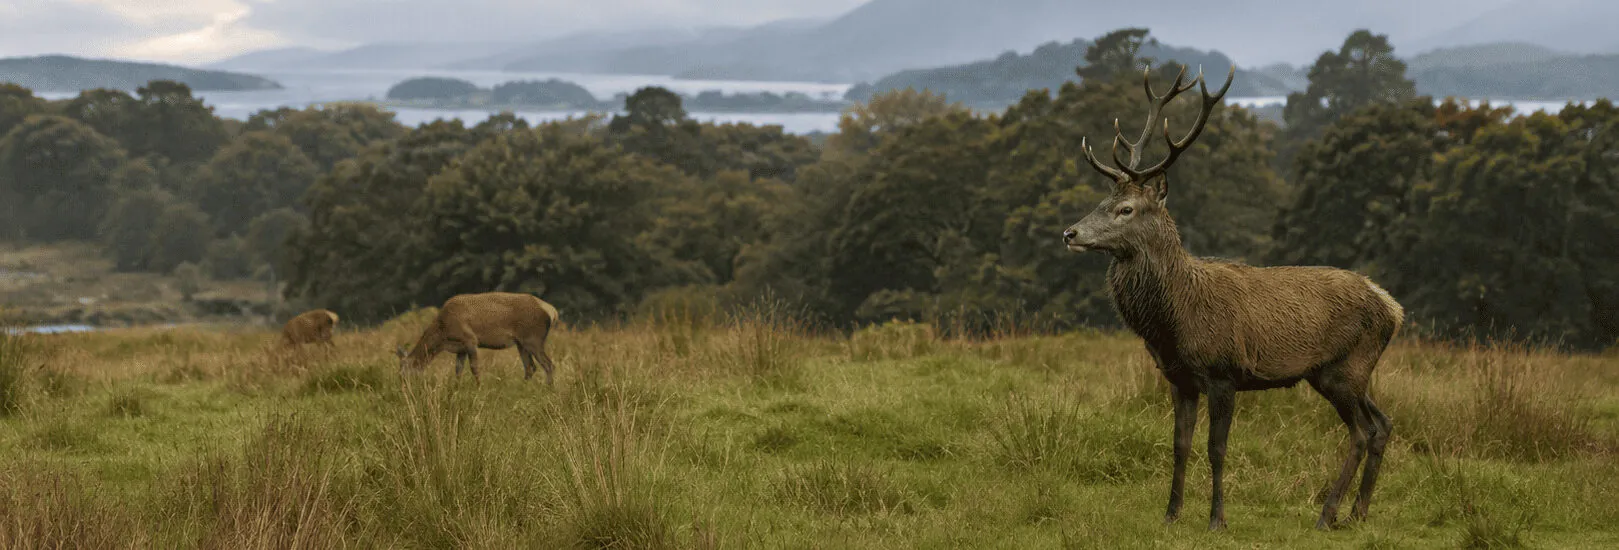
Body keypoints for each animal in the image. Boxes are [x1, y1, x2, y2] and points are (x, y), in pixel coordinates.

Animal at [394, 292, 561, 385]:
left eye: (404, 372)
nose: (403, 388)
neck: (443, 335)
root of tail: (552, 312)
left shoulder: (470, 340)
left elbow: (474, 368)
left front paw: (478, 388)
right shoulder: (460, 349)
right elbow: (458, 370)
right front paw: (455, 389)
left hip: (533, 338)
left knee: (548, 365)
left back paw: (549, 389)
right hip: (521, 343)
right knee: (530, 367)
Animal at [1060, 65, 1405, 531]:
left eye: (1126, 209)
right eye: (1102, 200)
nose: (1070, 233)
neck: (1174, 319)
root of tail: (1393, 308)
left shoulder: (1223, 373)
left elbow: (1216, 449)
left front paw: (1216, 519)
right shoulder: (1179, 379)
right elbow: (1180, 445)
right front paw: (1171, 514)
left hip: (1346, 368)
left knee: (1361, 432)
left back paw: (1328, 514)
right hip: (1341, 372)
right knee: (1383, 423)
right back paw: (1358, 512)